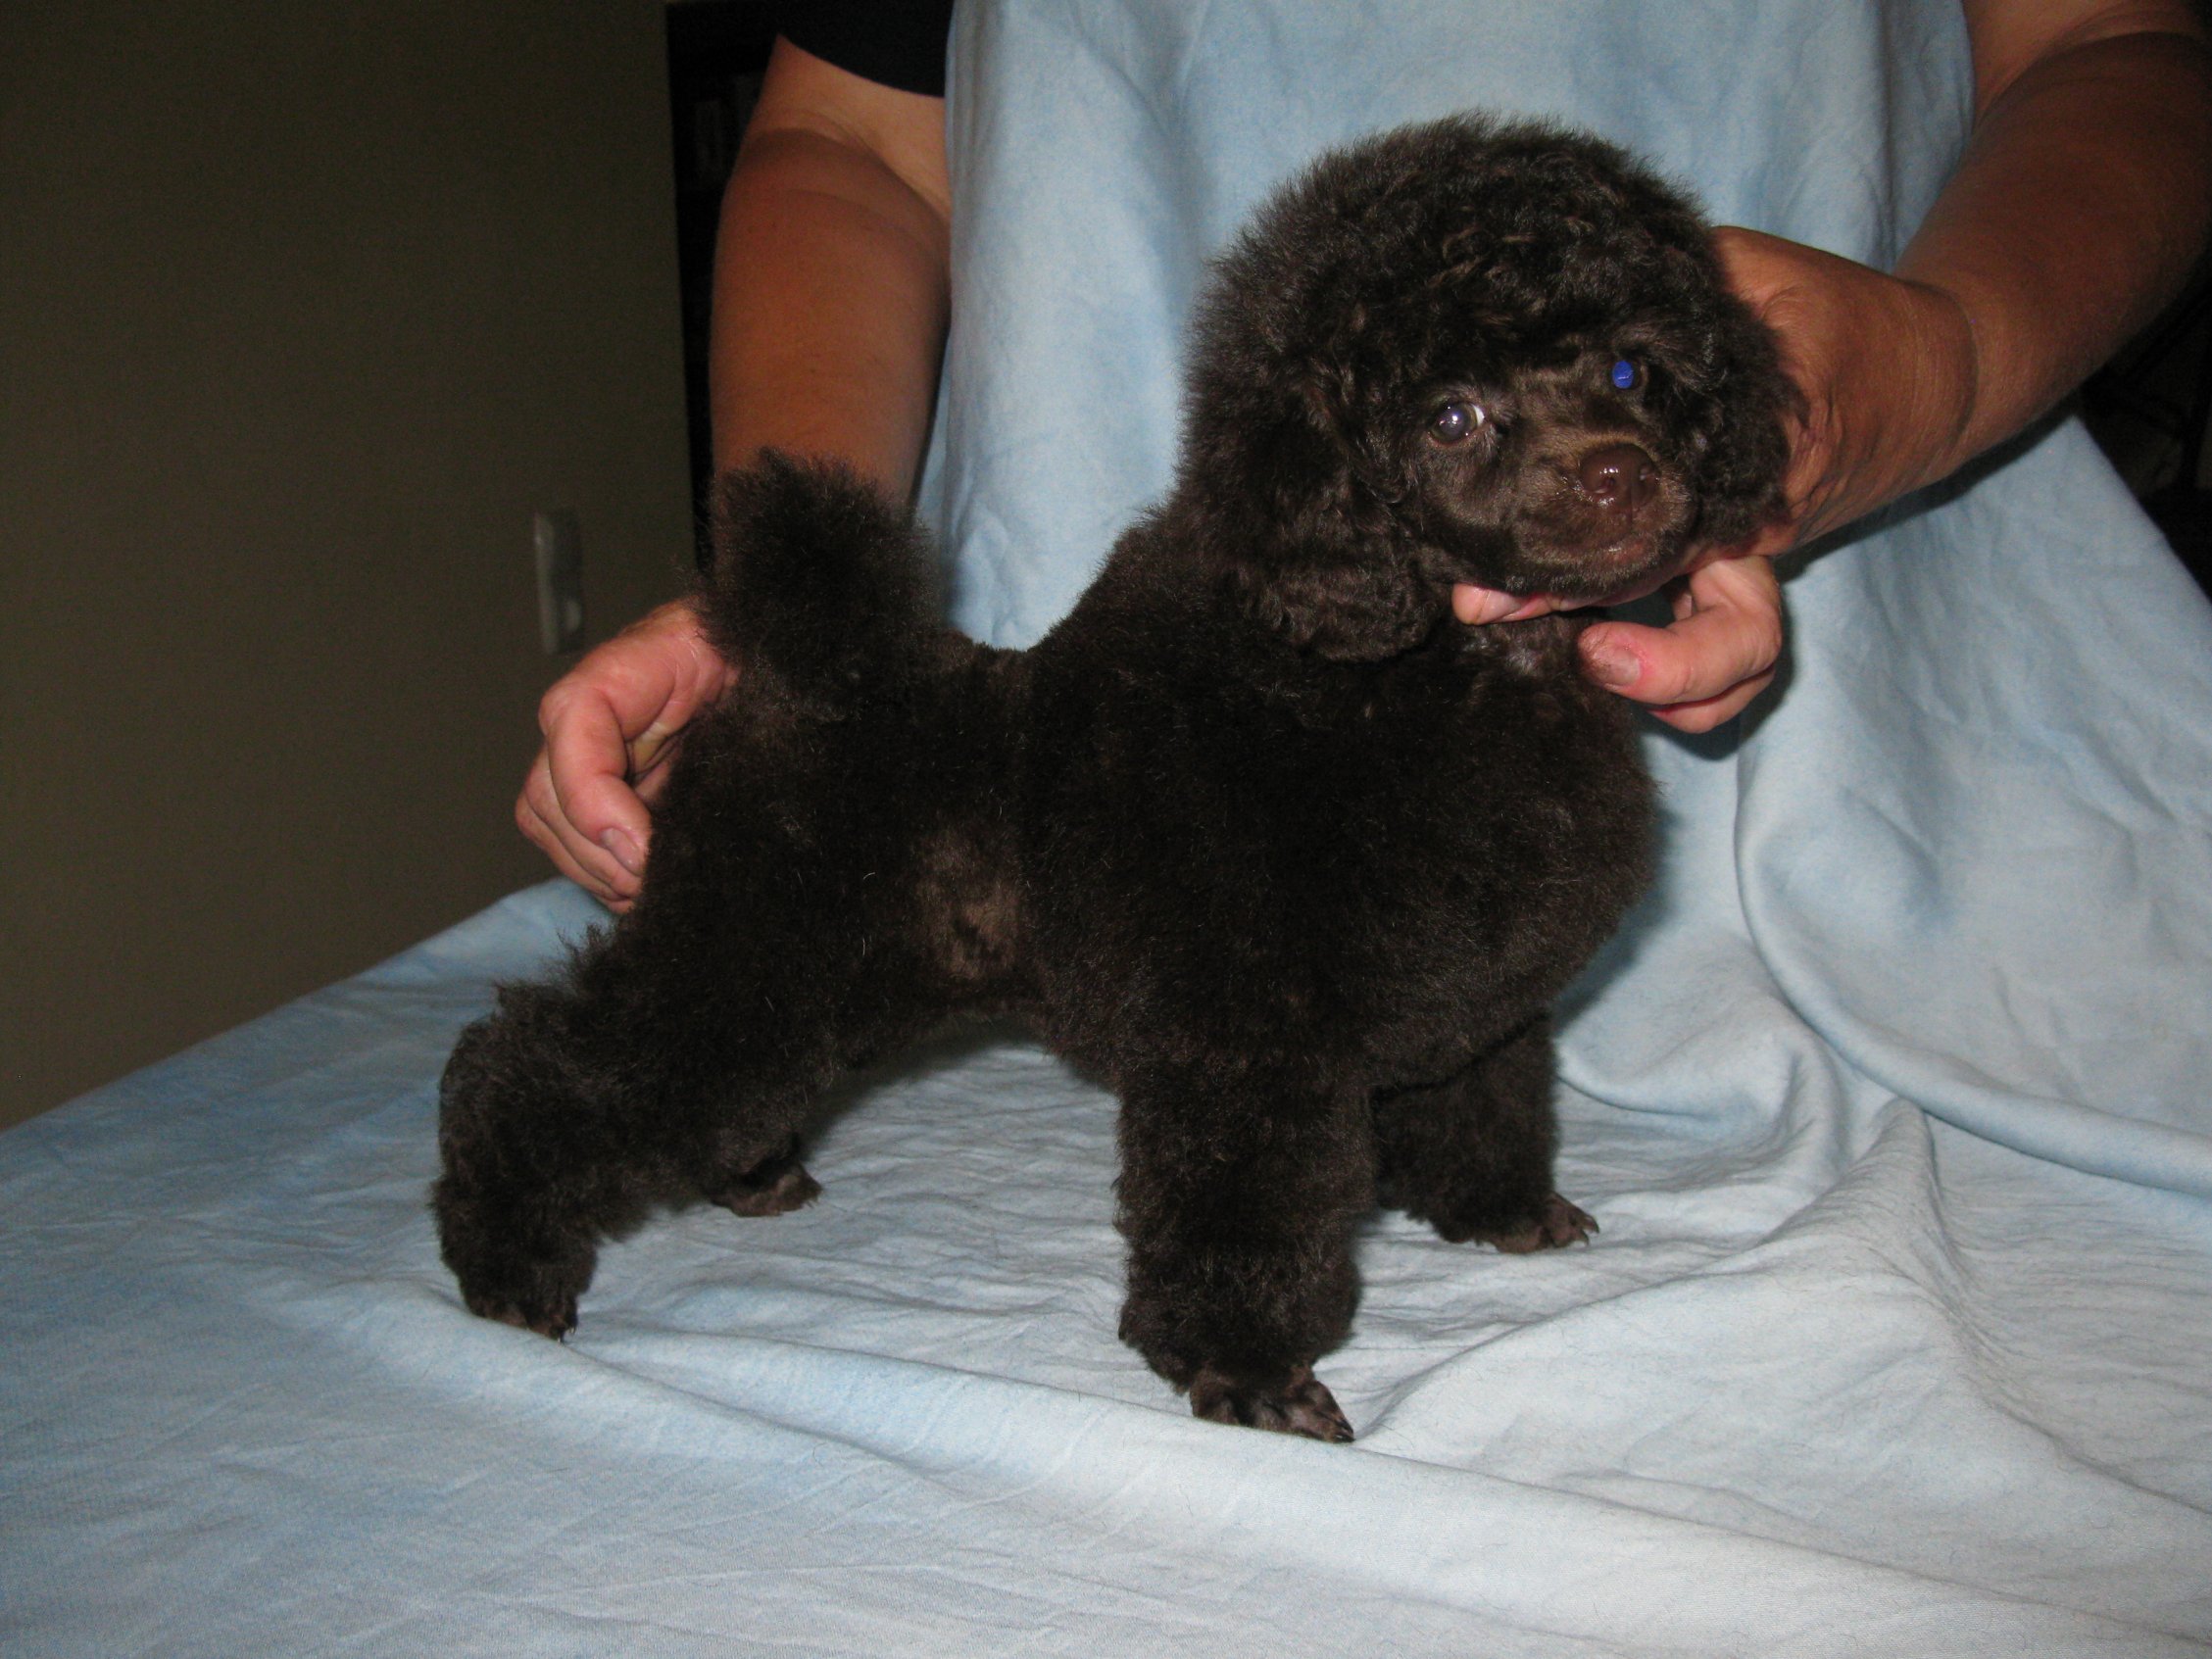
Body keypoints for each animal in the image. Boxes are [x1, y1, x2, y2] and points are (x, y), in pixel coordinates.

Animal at [433, 115, 1792, 1442]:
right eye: (1449, 416)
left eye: (1626, 371)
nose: (1619, 475)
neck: (1432, 673)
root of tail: (810, 658)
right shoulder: (1245, 1037)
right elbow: (1247, 1213)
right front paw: (1250, 1375)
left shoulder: (1480, 1001)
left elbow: (1485, 1104)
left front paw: (1503, 1212)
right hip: (752, 940)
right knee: (546, 1067)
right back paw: (506, 1263)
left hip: (837, 978)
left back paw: (743, 1171)